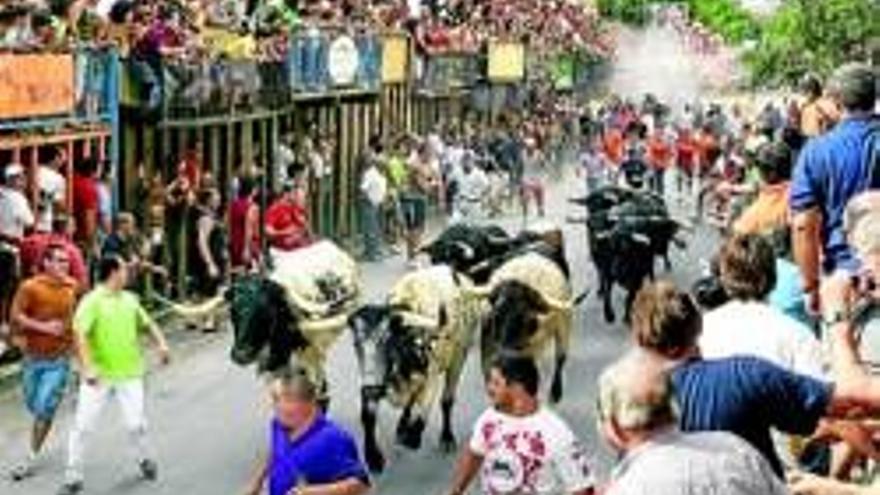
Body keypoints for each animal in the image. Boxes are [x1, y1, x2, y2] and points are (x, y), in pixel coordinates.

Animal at [346, 268, 482, 472]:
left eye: (388, 342)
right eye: (356, 344)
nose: (371, 389)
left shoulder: (431, 377)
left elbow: (422, 415)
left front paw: (412, 437)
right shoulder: (373, 384)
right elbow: (368, 417)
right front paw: (373, 457)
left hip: (459, 356)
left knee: (447, 399)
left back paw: (446, 437)